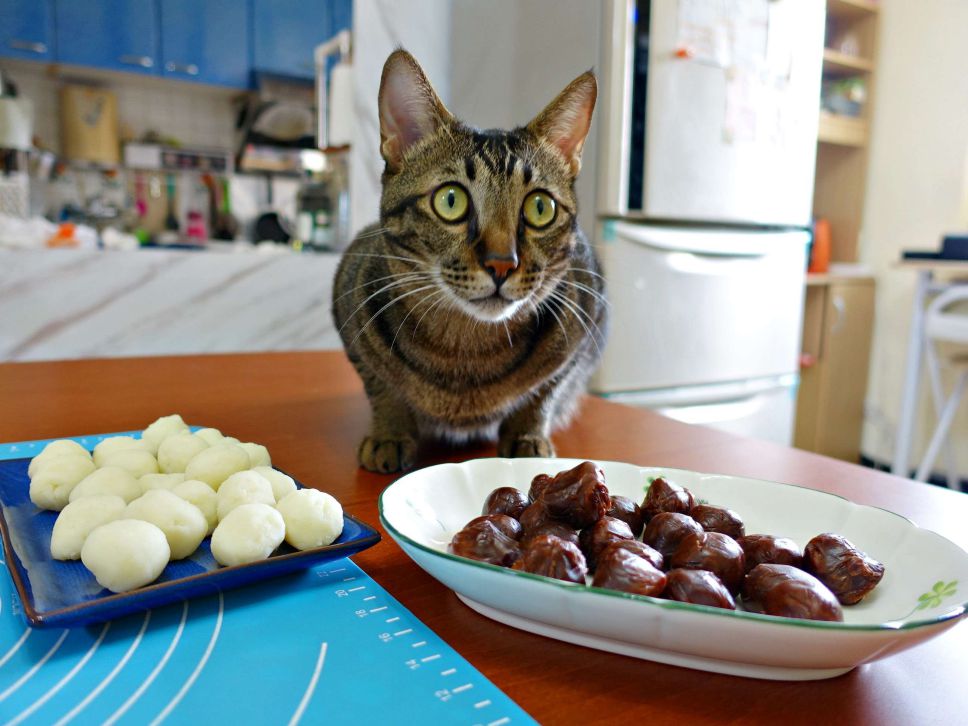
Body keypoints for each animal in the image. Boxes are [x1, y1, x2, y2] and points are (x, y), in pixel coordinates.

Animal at [332, 49, 604, 472]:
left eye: (540, 208)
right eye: (451, 200)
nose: (502, 264)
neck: (464, 351)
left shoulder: (584, 325)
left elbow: (544, 392)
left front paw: (527, 436)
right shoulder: (348, 311)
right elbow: (382, 387)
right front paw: (389, 433)